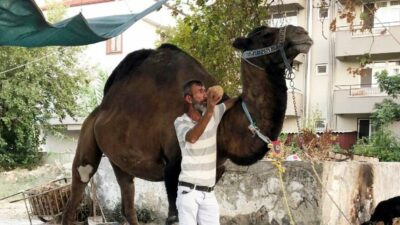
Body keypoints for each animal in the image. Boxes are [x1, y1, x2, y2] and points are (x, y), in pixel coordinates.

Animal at [61, 25, 312, 225]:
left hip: (119, 159)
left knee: (127, 202)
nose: (303, 33)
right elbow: (174, 216)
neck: (223, 129)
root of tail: (100, 110)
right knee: (77, 188)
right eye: (266, 34)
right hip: (86, 138)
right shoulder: (173, 166)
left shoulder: (216, 171)